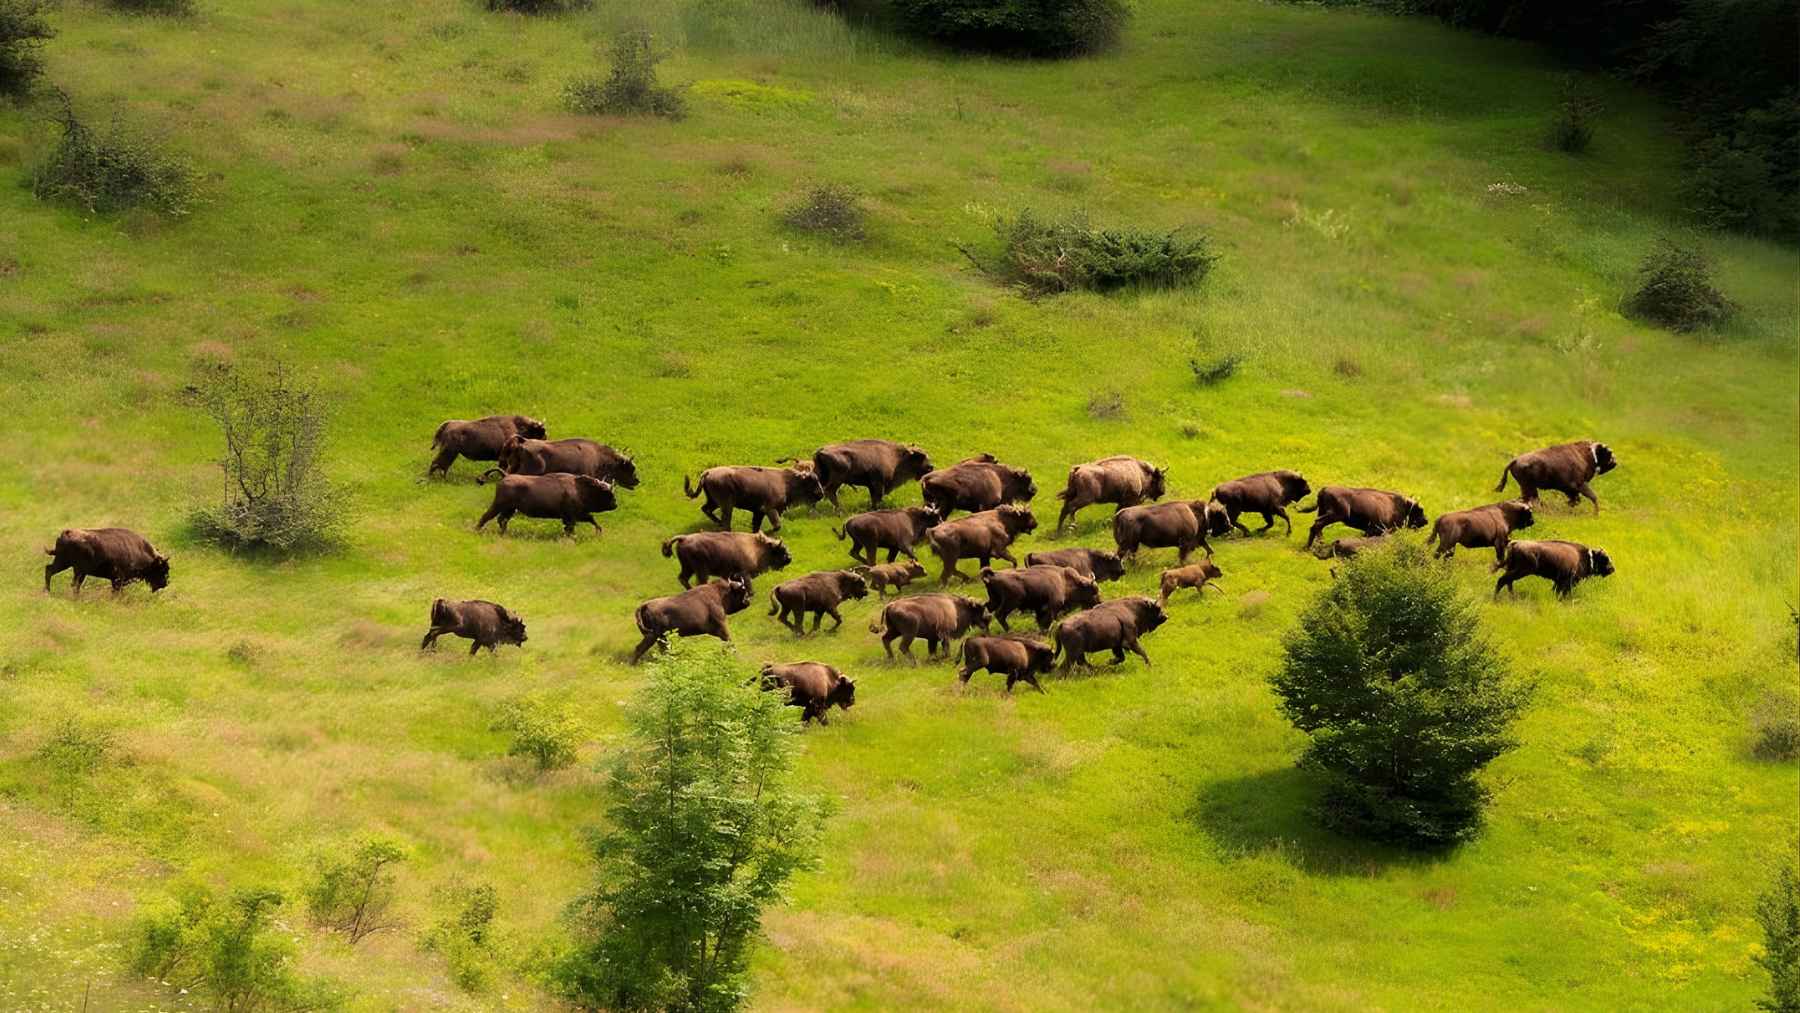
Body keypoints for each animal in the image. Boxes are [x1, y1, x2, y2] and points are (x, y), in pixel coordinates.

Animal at [476, 474, 616, 536]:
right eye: (608, 493)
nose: (615, 504)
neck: (578, 488)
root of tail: (506, 475)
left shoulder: (576, 515)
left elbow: (591, 520)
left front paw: (599, 531)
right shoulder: (572, 516)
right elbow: (573, 526)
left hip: (510, 509)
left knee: (502, 520)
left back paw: (504, 533)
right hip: (499, 505)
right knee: (487, 516)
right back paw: (476, 530)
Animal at [661, 531, 792, 587]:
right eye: (782, 550)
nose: (790, 558)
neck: (757, 548)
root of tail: (684, 538)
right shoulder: (744, 573)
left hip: (688, 568)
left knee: (683, 578)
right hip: (701, 570)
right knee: (700, 581)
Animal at [803, 440, 935, 510]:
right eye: (921, 456)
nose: (931, 467)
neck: (896, 456)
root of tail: (820, 451)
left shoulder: (872, 486)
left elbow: (873, 498)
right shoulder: (878, 484)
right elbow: (877, 498)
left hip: (821, 477)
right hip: (836, 480)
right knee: (829, 492)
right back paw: (839, 510)